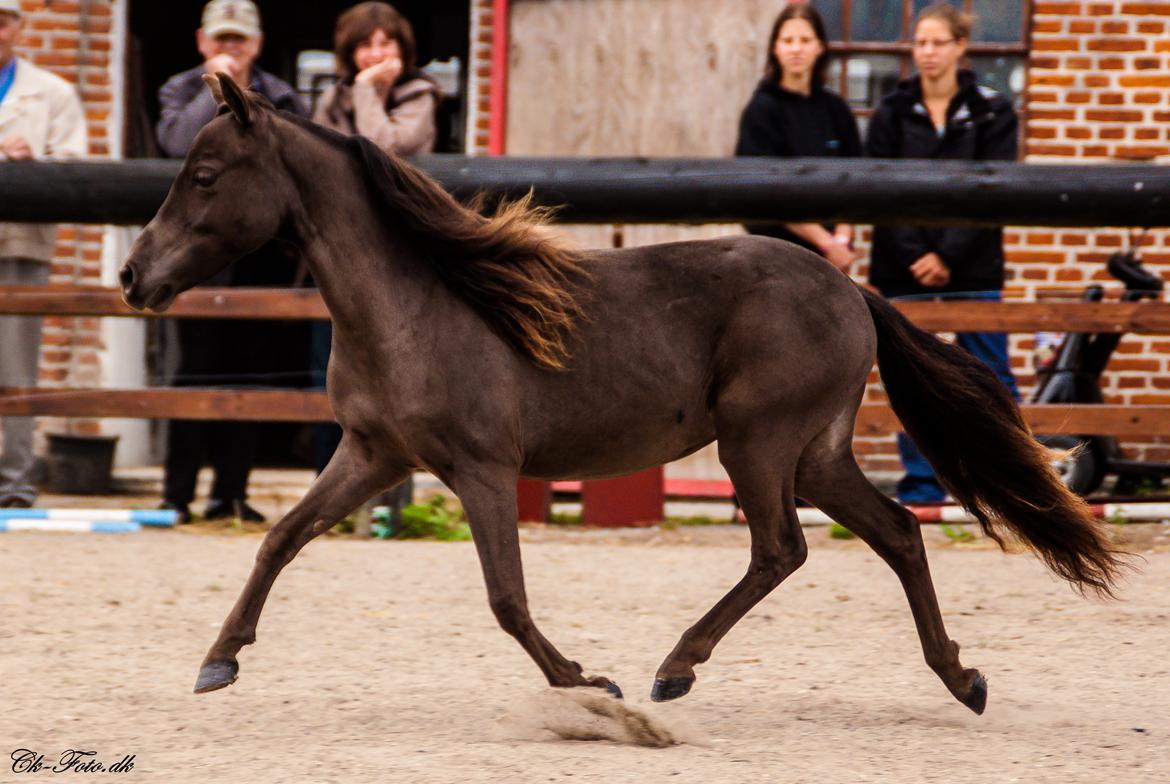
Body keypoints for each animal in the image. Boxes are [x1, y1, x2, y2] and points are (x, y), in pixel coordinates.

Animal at [118, 75, 1123, 720]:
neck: (417, 305)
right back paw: (961, 679)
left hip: (758, 443)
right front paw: (217, 662)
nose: (133, 277)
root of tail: (850, 290)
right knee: (899, 533)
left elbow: (505, 597)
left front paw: (584, 680)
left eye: (203, 176)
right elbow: (282, 540)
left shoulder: (482, 468)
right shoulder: (372, 455)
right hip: (816, 453)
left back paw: (675, 670)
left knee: (782, 549)